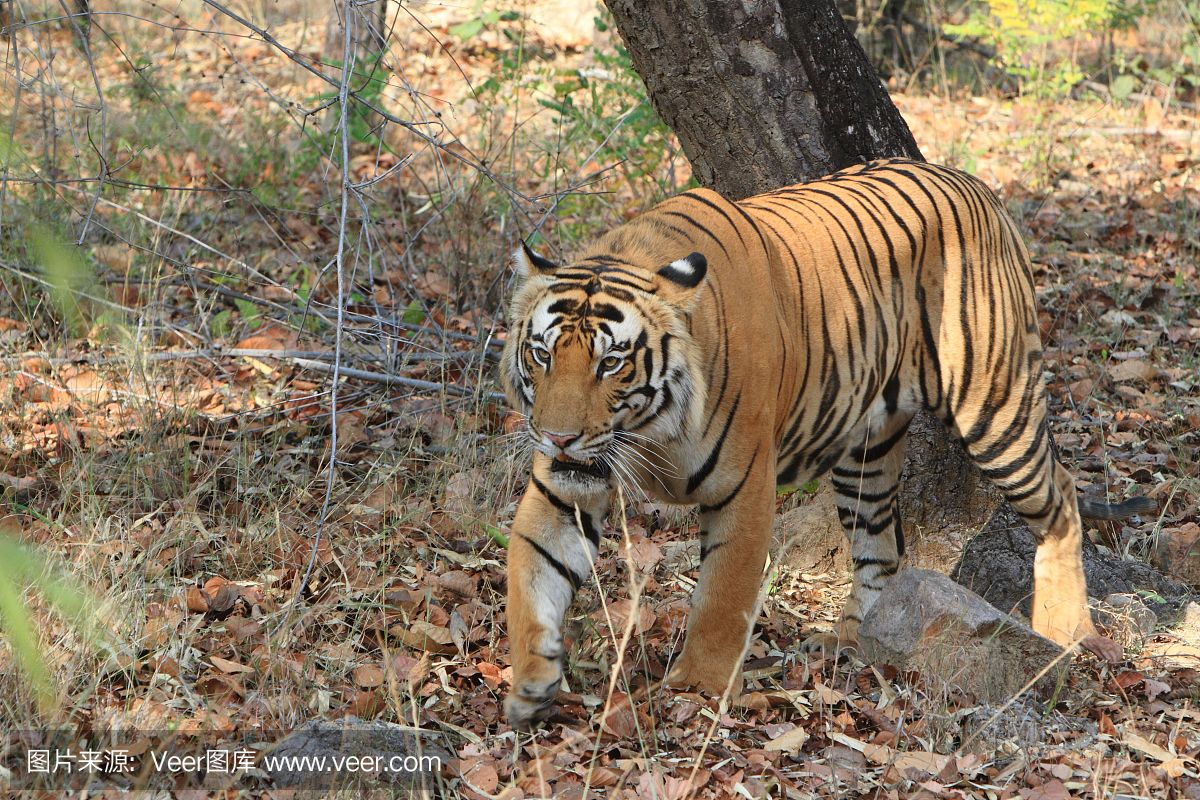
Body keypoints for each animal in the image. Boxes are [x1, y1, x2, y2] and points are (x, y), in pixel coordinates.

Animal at [494, 158, 1152, 734]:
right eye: (543, 354)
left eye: (610, 363)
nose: (558, 436)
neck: (649, 431)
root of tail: (977, 185)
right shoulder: (564, 487)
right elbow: (530, 575)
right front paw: (529, 683)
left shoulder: (744, 487)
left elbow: (721, 596)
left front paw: (697, 691)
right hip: (866, 453)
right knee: (881, 546)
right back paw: (849, 640)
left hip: (995, 406)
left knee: (1061, 496)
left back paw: (1066, 630)